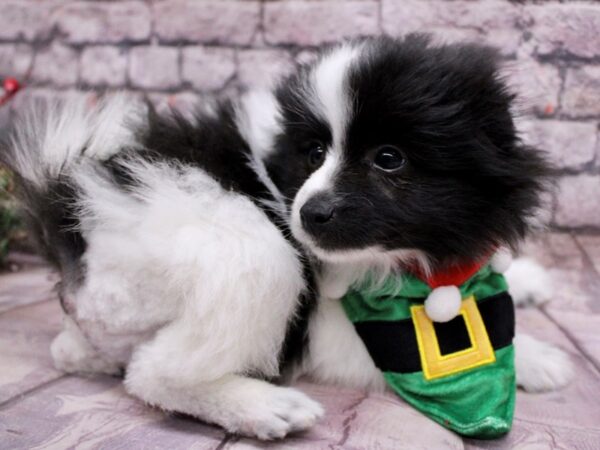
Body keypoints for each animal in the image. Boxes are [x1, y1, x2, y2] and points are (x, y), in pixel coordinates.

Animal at [262, 35, 572, 394]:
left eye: (388, 158)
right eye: (314, 153)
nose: (312, 212)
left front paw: (527, 278)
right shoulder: (343, 338)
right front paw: (540, 356)